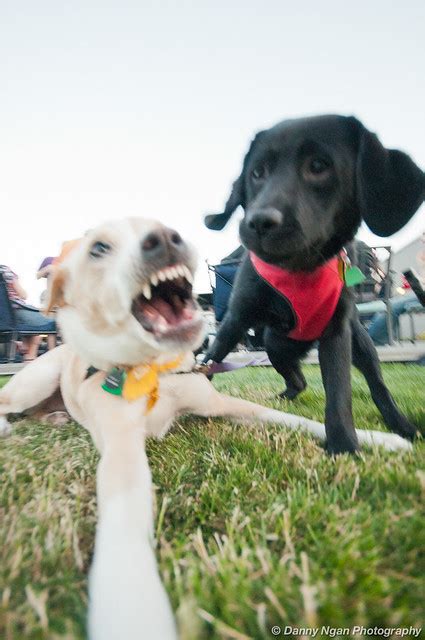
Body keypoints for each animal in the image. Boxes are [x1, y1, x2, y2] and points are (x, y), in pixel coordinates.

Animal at [0, 218, 410, 636]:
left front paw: (379, 438)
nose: (165, 239)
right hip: (38, 380)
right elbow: (125, 515)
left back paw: (55, 417)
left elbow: (294, 419)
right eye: (98, 248)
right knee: (9, 404)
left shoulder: (222, 403)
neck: (153, 371)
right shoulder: (121, 447)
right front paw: (131, 601)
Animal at [204, 115, 422, 456]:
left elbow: (339, 394)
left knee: (377, 385)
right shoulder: (237, 318)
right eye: (257, 172)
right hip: (275, 345)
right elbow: (213, 357)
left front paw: (344, 447)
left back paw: (401, 425)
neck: (298, 269)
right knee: (298, 380)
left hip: (360, 343)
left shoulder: (336, 334)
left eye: (319, 166)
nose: (258, 223)